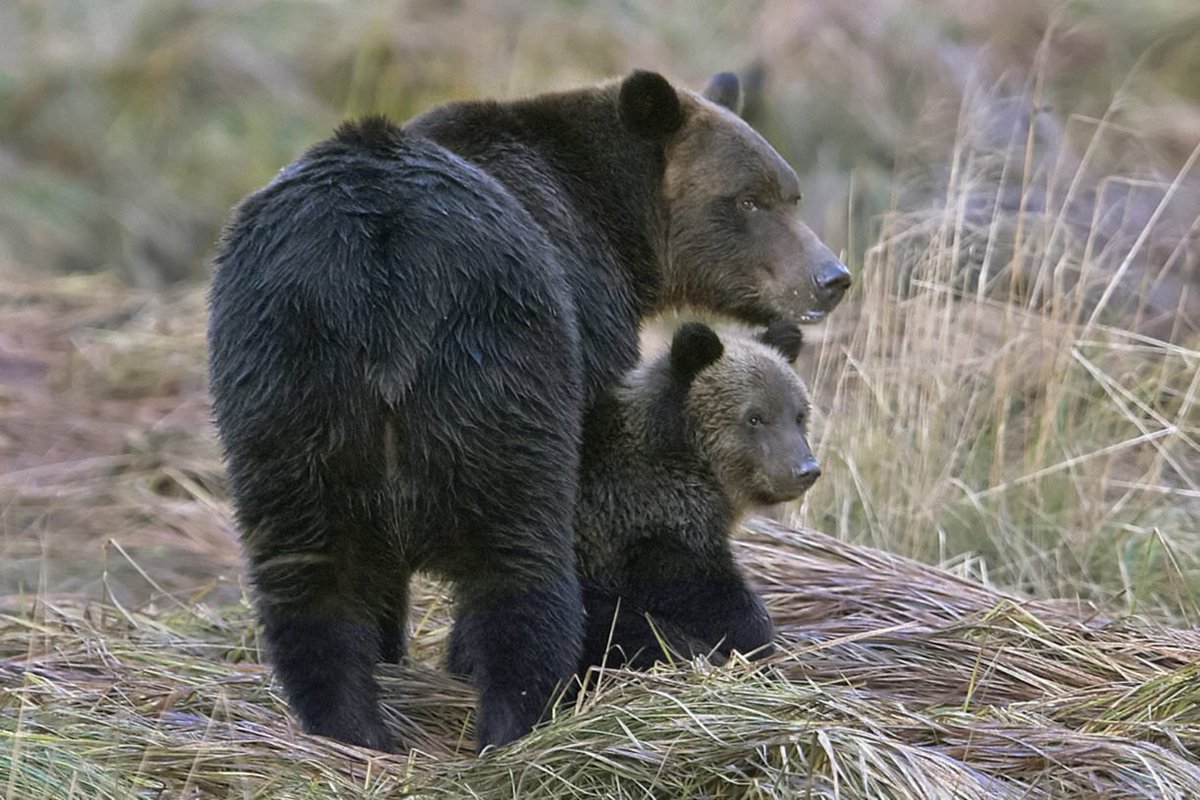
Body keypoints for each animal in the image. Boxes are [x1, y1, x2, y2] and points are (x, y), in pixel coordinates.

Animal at [572, 320, 817, 673]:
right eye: (755, 417)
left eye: (798, 414)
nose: (805, 469)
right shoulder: (647, 524)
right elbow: (705, 592)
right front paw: (751, 637)